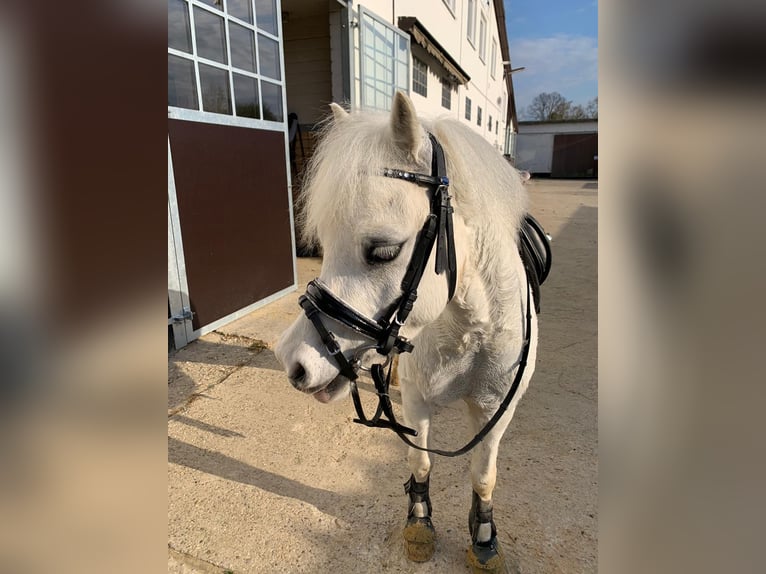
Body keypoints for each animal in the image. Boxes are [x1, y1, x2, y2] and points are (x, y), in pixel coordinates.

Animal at [278, 92, 540, 572]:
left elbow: (483, 475)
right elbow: (419, 463)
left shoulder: (497, 410)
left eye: (383, 251)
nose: (292, 361)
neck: (470, 330)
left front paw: (484, 537)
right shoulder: (418, 401)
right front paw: (419, 524)